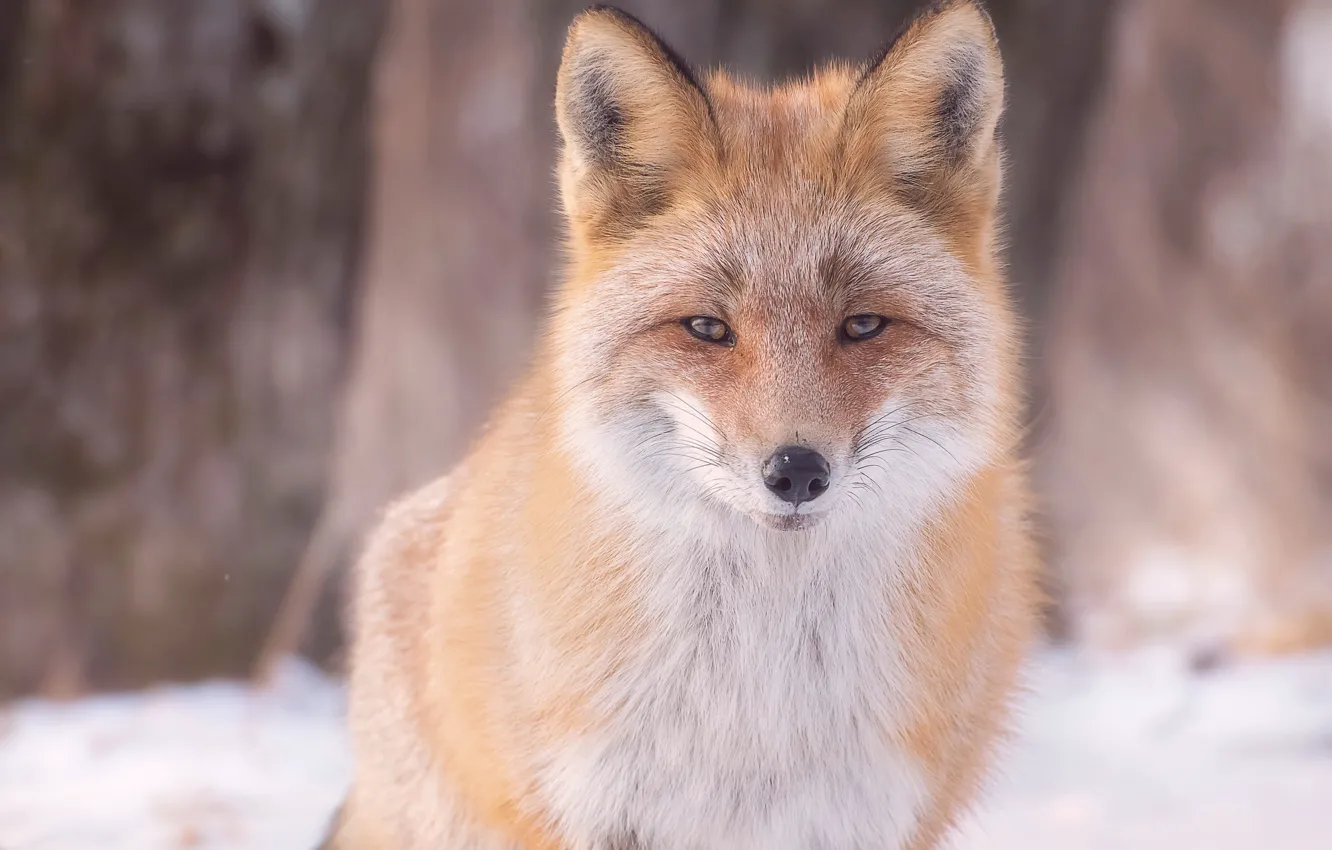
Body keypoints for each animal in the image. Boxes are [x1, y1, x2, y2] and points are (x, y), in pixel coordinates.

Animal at [327, 2, 1039, 848]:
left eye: (864, 326)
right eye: (706, 328)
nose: (796, 470)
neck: (752, 706)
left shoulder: (859, 819)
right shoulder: (591, 806)